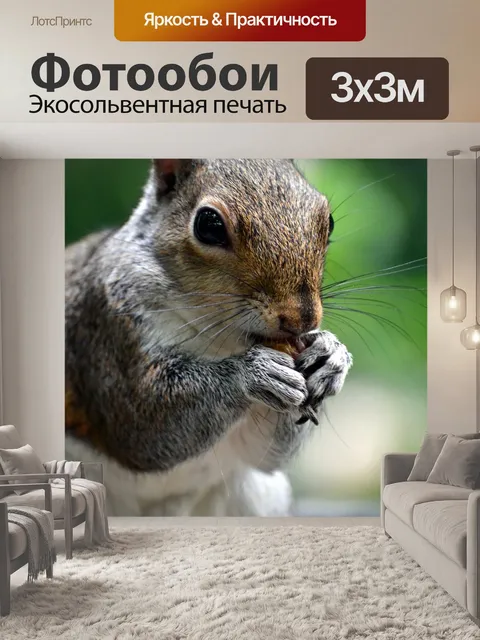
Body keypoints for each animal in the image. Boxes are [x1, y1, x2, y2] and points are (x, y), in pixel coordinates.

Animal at [65, 159, 353, 516]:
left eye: (329, 221)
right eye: (209, 225)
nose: (302, 318)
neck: (219, 339)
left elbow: (263, 456)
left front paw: (331, 355)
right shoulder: (110, 328)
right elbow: (143, 427)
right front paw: (253, 373)